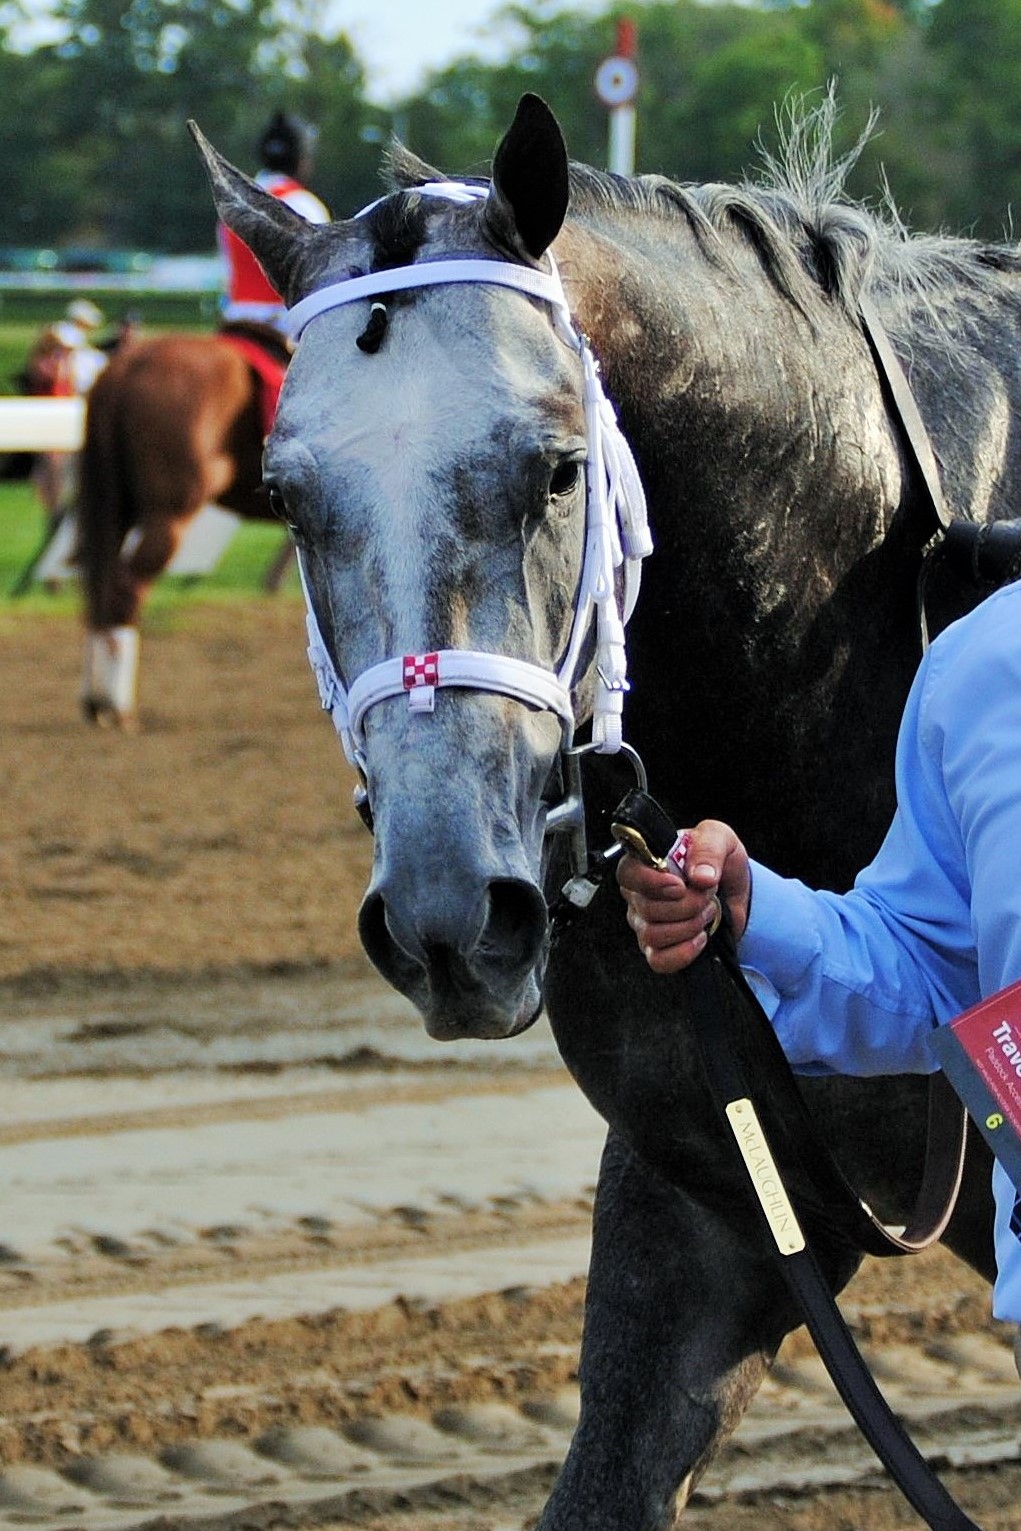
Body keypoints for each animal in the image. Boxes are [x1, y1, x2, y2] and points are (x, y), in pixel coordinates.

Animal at [75, 321, 287, 722]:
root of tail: (129, 365)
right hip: (169, 515)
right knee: (126, 588)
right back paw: (117, 704)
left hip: (114, 509)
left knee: (97, 592)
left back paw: (96, 700)